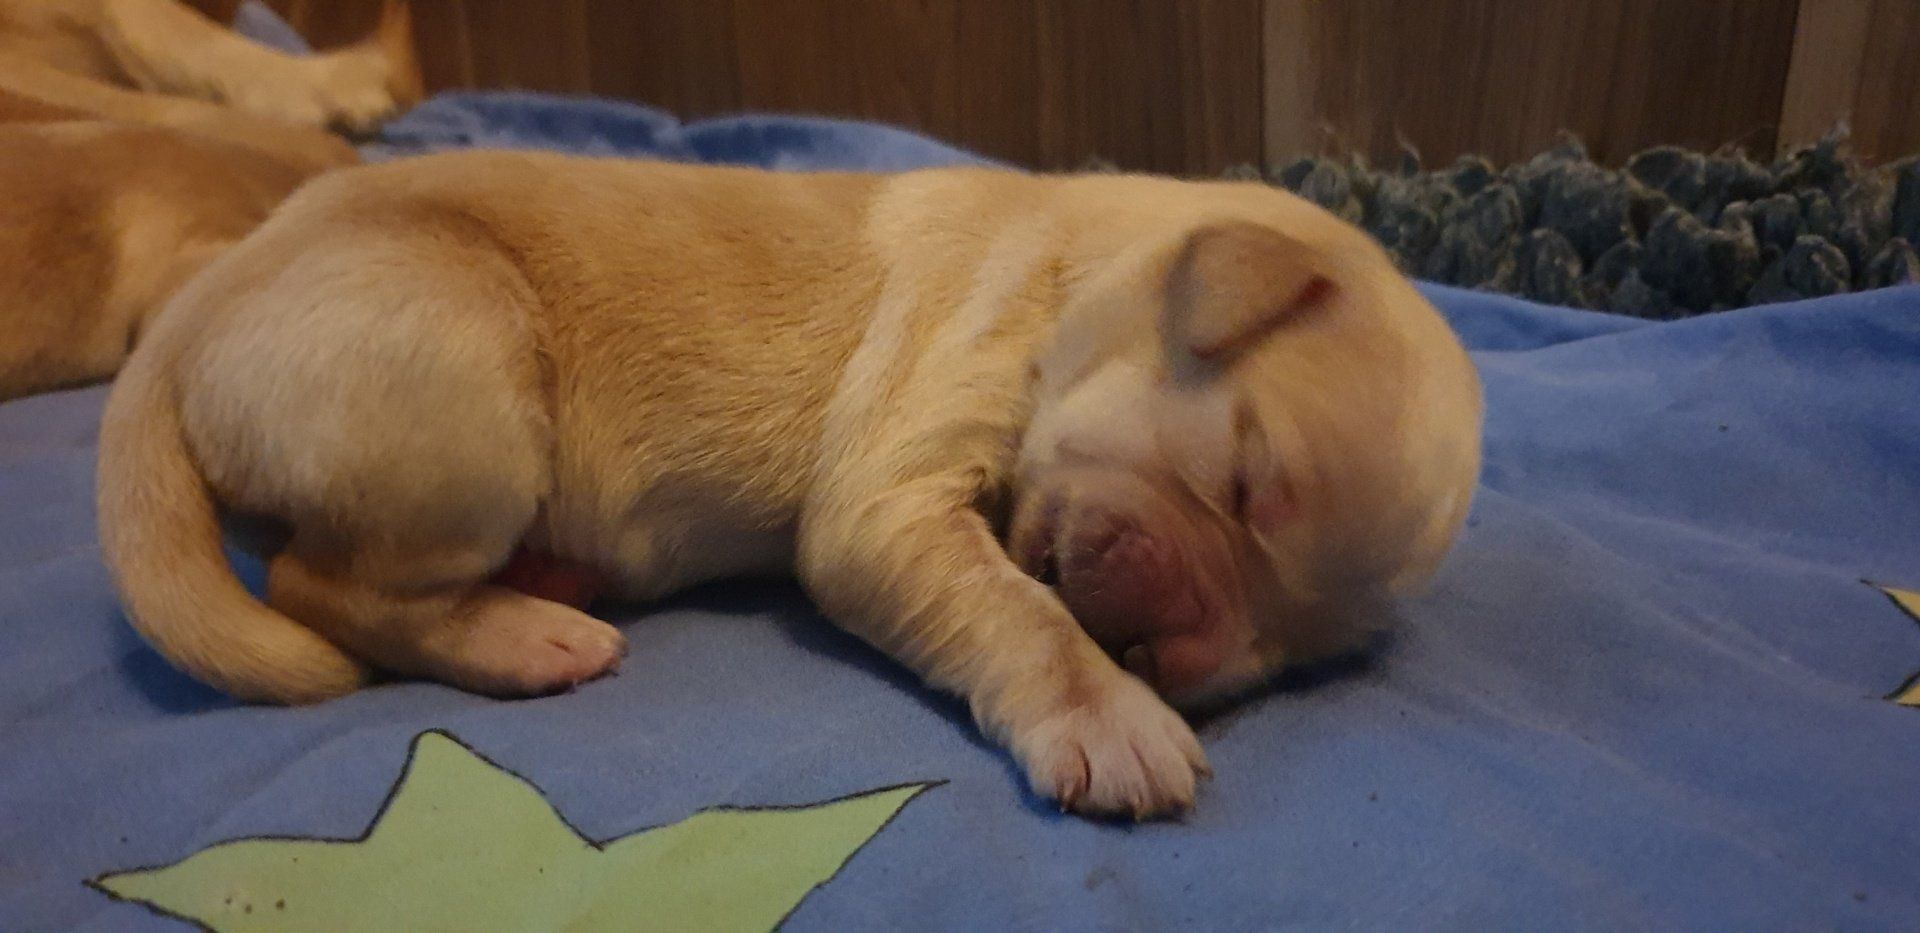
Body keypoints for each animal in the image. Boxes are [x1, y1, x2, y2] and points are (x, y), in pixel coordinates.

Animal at [97, 151, 1483, 819]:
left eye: (1295, 655)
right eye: (1248, 485)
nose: (1184, 659)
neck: (1084, 260)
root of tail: (191, 312)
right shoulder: (901, 470)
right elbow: (1025, 611)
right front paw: (1112, 719)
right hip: (462, 365)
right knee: (319, 583)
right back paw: (527, 631)